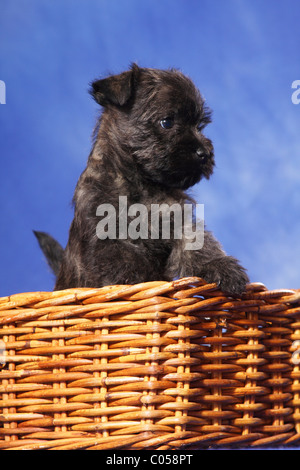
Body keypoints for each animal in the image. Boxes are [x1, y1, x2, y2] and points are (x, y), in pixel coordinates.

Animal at [34, 65, 248, 294]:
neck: (141, 183)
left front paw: (222, 267)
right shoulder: (107, 235)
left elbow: (198, 245)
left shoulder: (177, 221)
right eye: (167, 122)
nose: (204, 153)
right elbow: (129, 265)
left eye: (200, 125)